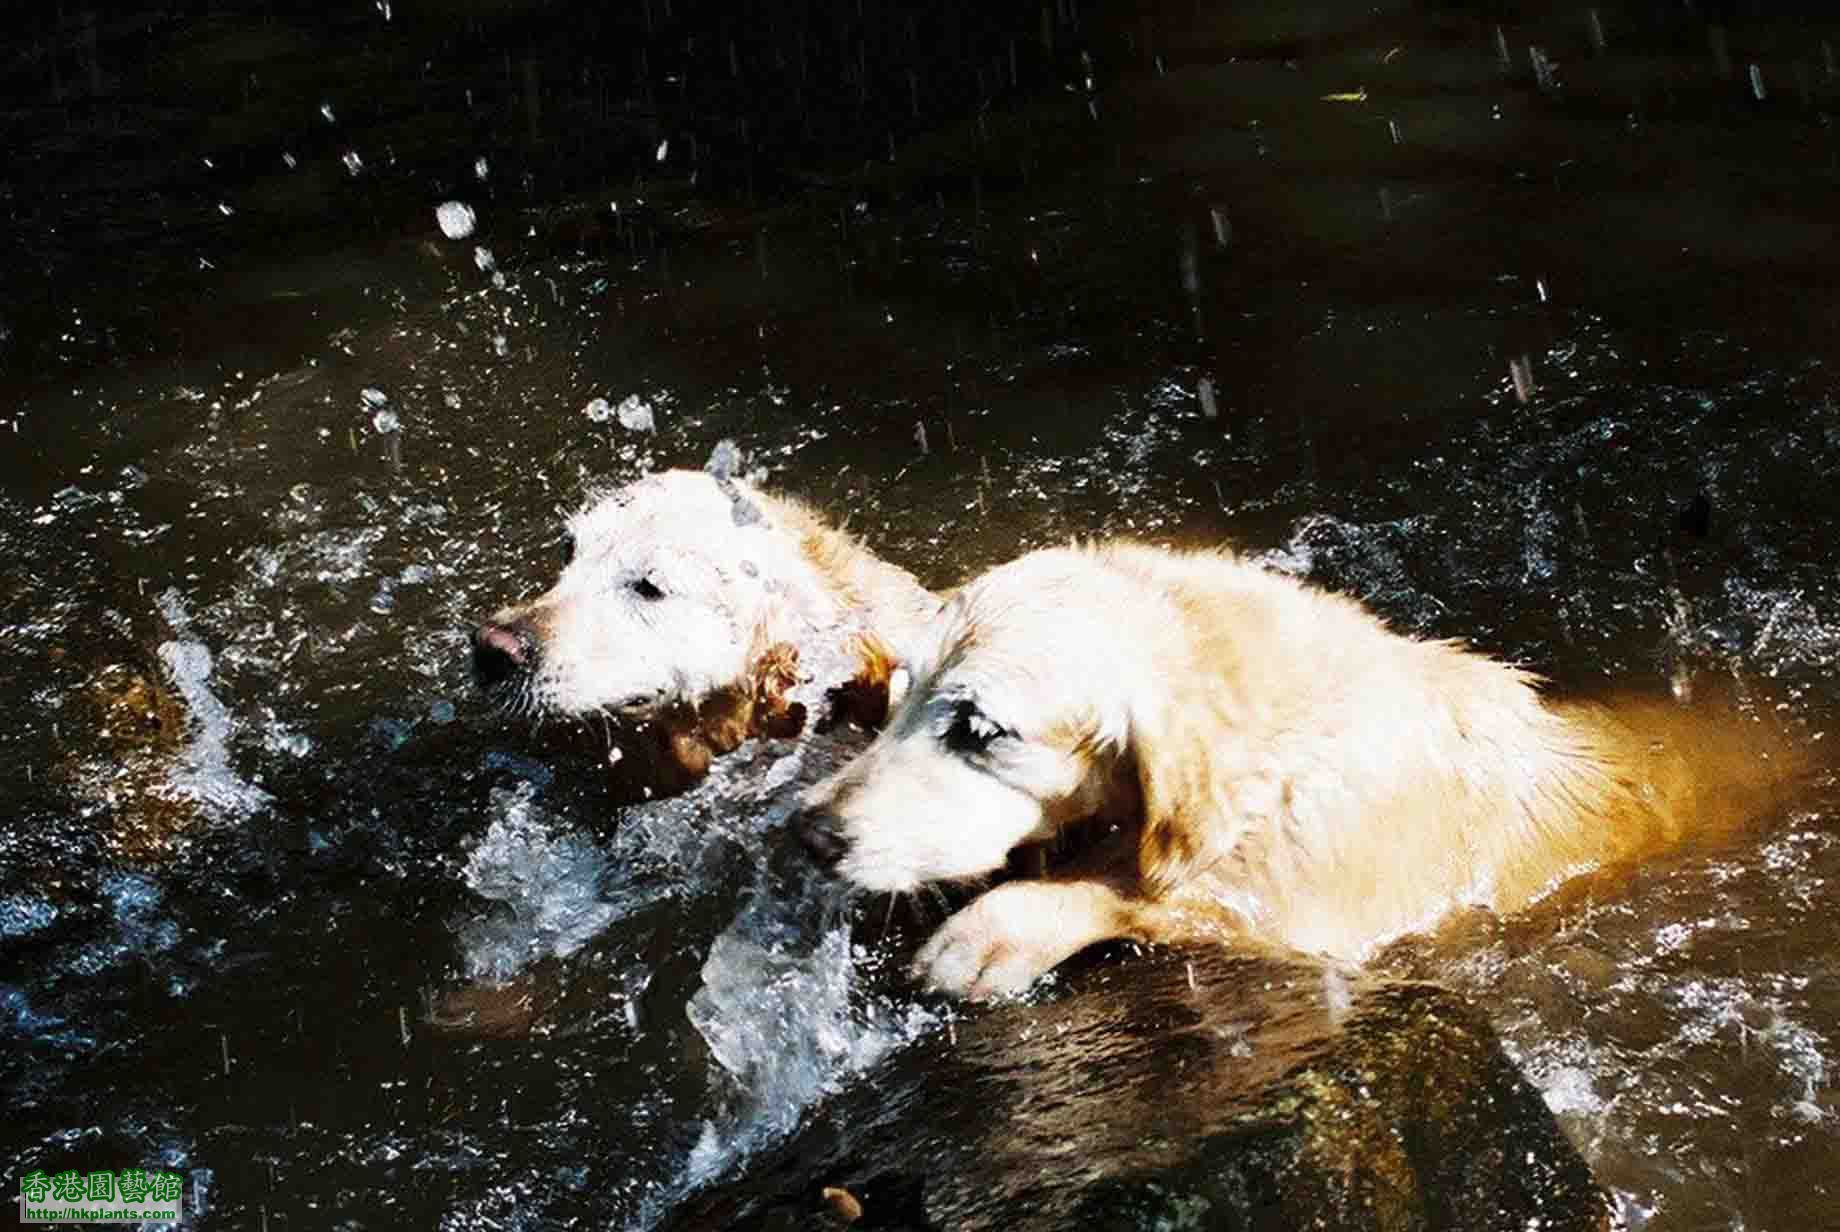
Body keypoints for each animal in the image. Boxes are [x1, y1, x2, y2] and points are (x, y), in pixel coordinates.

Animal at [794, 544, 1810, 1000]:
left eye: (978, 727)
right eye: (900, 699)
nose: (811, 832)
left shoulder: (1316, 901)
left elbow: (1149, 884)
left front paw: (987, 934)